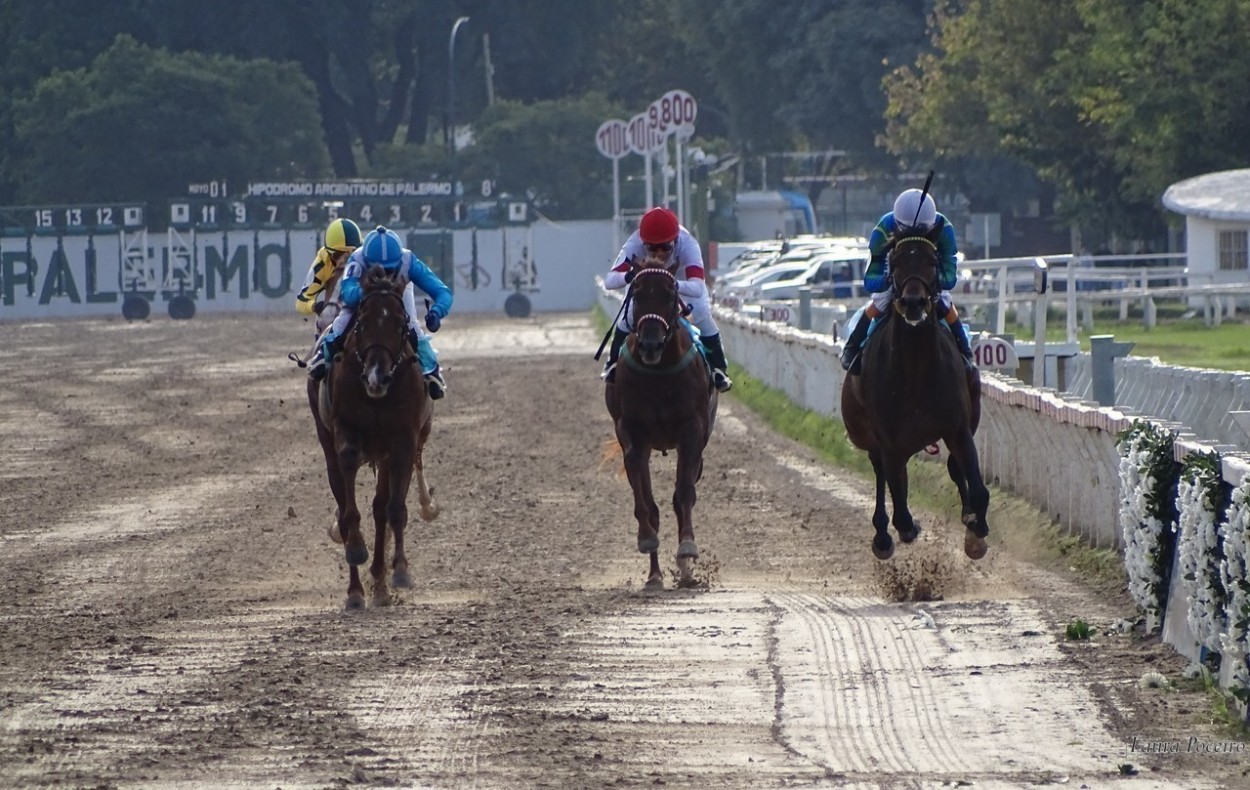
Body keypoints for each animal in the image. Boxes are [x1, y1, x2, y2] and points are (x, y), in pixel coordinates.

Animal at [308, 265, 440, 610]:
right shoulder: (346, 436)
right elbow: (349, 511)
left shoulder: (402, 442)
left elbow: (393, 510)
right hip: (330, 442)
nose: (375, 377)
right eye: (362, 322)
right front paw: (356, 552)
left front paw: (399, 573)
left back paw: (381, 581)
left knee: (382, 510)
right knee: (348, 504)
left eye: (400, 323)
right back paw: (357, 590)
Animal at [602, 258, 715, 587]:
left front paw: (688, 548)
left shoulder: (692, 429)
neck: (659, 373)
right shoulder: (632, 430)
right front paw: (647, 539)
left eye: (669, 295)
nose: (650, 345)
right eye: (637, 294)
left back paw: (686, 571)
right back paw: (655, 575)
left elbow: (684, 494)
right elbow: (645, 498)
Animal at [835, 228, 990, 562]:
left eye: (932, 261)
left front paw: (975, 531)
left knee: (953, 467)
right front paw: (905, 529)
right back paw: (882, 536)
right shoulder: (890, 442)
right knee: (882, 476)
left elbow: (977, 488)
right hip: (873, 438)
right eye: (894, 263)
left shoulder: (959, 428)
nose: (914, 302)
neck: (917, 370)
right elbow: (902, 514)